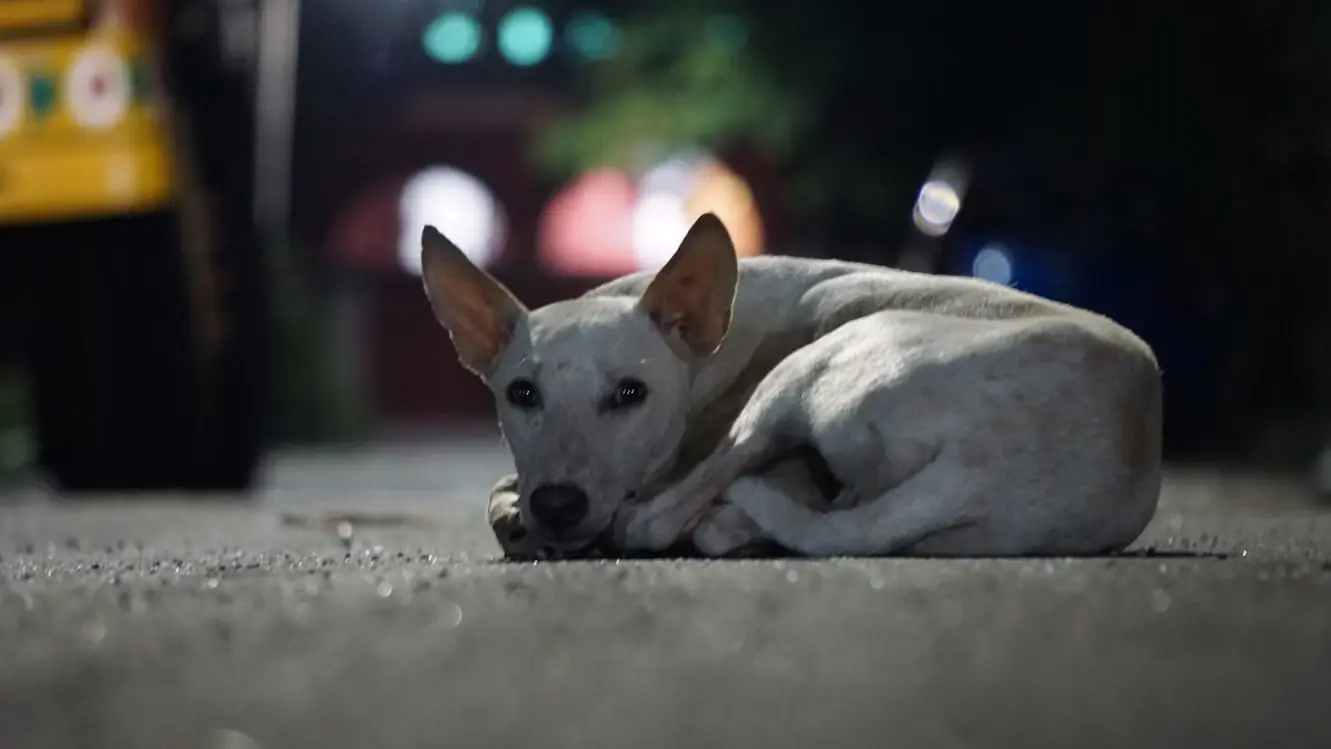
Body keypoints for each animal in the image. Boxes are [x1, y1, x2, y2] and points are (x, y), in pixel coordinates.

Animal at [420, 211, 1160, 556]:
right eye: (521, 394)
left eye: (630, 393)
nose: (559, 505)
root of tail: (977, 468)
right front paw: (519, 517)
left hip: (804, 371)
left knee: (669, 516)